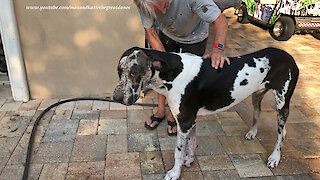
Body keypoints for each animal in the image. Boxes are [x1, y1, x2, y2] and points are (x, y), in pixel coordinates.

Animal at [112, 46, 298, 180]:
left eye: (133, 72)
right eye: (119, 71)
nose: (116, 98)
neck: (173, 73)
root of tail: (289, 56)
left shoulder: (184, 122)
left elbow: (178, 151)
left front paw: (175, 173)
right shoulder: (191, 120)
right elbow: (192, 142)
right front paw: (190, 159)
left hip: (282, 103)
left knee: (281, 133)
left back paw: (275, 157)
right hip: (257, 95)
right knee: (258, 114)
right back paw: (253, 132)